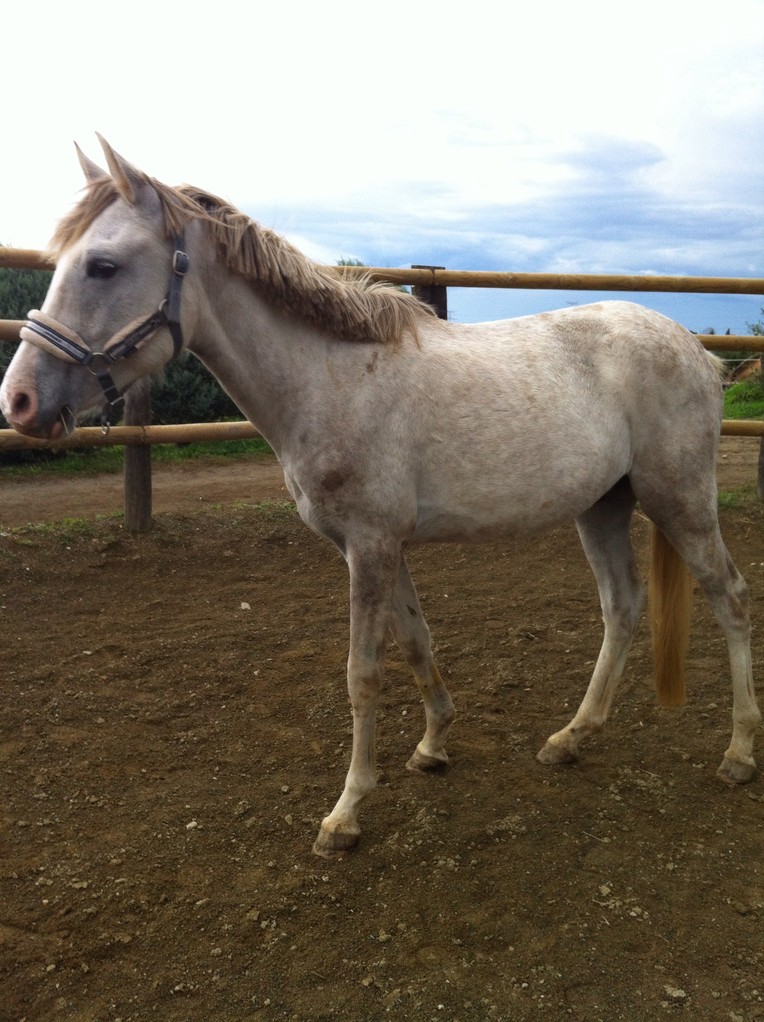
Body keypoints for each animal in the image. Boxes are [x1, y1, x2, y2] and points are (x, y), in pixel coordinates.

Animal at [1, 133, 759, 854]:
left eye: (103, 266)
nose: (20, 400)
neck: (329, 377)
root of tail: (697, 350)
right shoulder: (376, 547)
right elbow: (416, 640)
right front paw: (432, 746)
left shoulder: (369, 547)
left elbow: (362, 674)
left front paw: (346, 814)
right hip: (602, 506)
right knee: (622, 605)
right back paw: (571, 737)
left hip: (681, 500)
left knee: (728, 596)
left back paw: (739, 752)